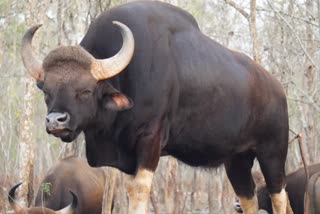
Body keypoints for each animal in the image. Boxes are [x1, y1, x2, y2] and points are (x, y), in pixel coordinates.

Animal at [20, 1, 290, 212]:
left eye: (85, 91)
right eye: (46, 91)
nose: (55, 121)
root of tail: (277, 88)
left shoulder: (150, 141)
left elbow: (139, 192)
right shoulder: (126, 153)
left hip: (273, 152)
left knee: (279, 196)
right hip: (237, 160)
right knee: (249, 198)